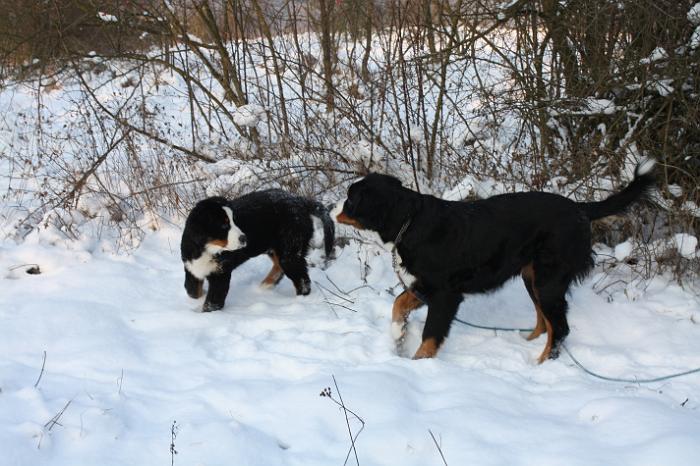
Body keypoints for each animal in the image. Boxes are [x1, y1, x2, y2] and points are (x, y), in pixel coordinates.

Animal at [179, 189, 334, 314]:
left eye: (235, 221)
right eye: (223, 225)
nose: (244, 238)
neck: (207, 249)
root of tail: (300, 200)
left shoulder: (221, 274)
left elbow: (212, 303)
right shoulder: (191, 267)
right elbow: (191, 290)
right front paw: (199, 297)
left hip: (290, 247)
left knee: (301, 278)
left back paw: (299, 301)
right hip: (276, 248)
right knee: (280, 266)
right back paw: (265, 286)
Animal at [336, 159, 652, 360]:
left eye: (351, 199)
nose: (332, 207)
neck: (411, 222)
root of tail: (580, 209)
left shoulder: (445, 294)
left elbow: (430, 336)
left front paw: (418, 365)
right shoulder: (425, 286)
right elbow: (399, 303)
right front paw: (397, 332)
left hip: (548, 279)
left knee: (560, 328)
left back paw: (539, 364)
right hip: (532, 277)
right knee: (546, 323)